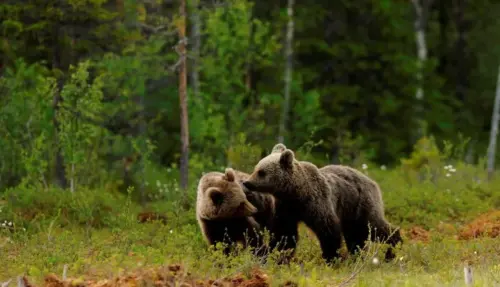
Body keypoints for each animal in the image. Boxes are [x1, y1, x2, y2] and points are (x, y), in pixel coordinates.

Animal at [242, 144, 402, 266]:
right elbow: (285, 234)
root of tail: (372, 181)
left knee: (373, 227)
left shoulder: (317, 203)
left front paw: (331, 258)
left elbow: (328, 230)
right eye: (256, 168)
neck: (296, 193)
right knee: (356, 236)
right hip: (350, 212)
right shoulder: (286, 209)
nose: (247, 182)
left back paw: (393, 248)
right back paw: (358, 256)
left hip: (361, 204)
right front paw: (277, 255)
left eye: (261, 172)